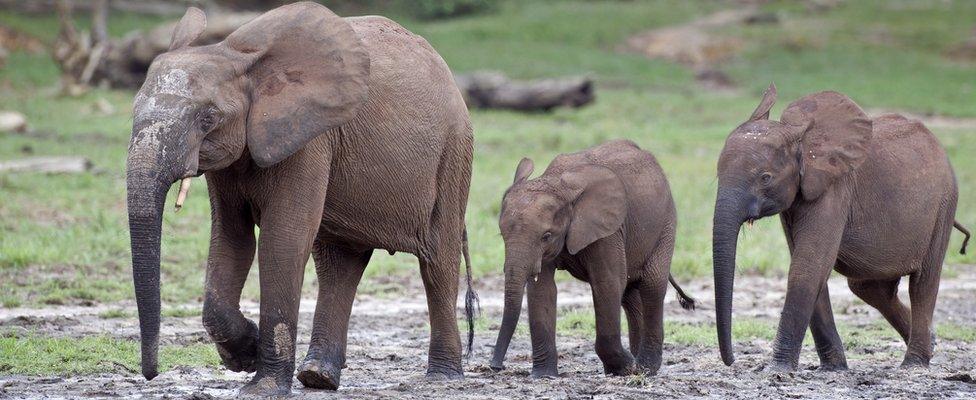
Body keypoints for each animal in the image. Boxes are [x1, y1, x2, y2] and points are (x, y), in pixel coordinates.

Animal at [126, 3, 476, 396]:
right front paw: (244, 354)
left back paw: (442, 377)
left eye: (208, 118)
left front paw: (261, 388)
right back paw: (317, 377)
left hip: (453, 152)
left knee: (438, 261)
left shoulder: (308, 138)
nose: (151, 374)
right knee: (338, 264)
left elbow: (283, 240)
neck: (238, 58)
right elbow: (232, 239)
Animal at [488, 141, 692, 378]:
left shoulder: (607, 230)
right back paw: (636, 363)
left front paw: (625, 367)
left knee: (652, 284)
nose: (495, 366)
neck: (558, 184)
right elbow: (543, 289)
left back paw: (644, 367)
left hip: (666, 223)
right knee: (630, 295)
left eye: (546, 236)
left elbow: (607, 282)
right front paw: (544, 375)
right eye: (502, 234)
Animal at [712, 83, 972, 372]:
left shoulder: (834, 188)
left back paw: (914, 364)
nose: (732, 361)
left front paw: (777, 369)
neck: (802, 140)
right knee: (869, 288)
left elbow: (808, 265)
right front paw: (833, 368)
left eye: (765, 178)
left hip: (944, 204)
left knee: (922, 283)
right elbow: (811, 266)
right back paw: (933, 343)